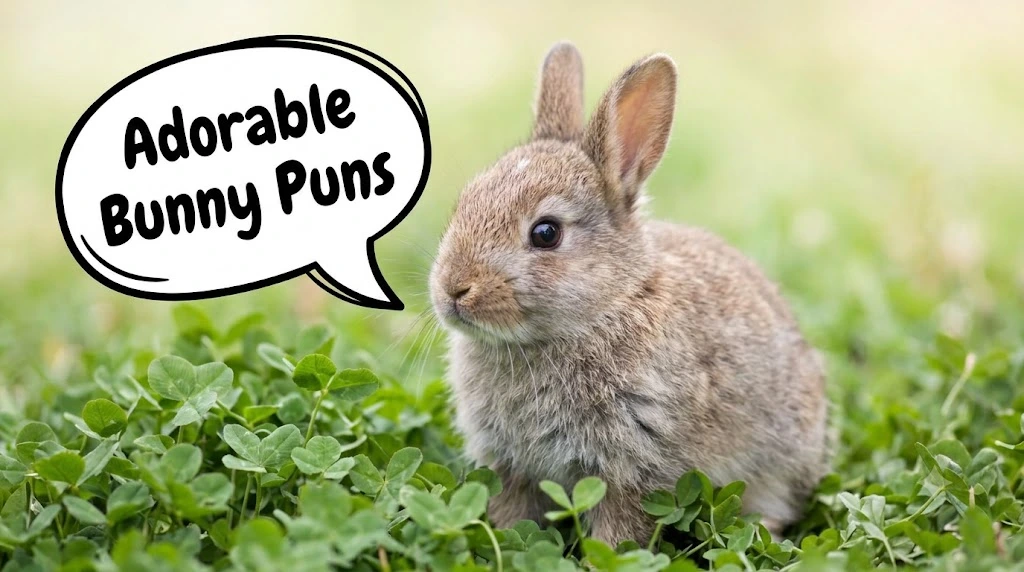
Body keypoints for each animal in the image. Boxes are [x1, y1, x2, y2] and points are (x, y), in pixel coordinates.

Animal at [428, 42, 829, 546]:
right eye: (465, 202)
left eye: (546, 233)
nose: (452, 289)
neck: (604, 308)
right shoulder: (510, 466)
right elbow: (515, 517)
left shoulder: (634, 463)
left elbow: (619, 533)